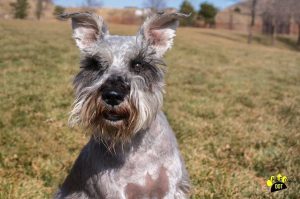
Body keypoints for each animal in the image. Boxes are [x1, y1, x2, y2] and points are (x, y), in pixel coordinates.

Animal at [55, 11, 191, 198]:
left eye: (138, 64)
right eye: (95, 64)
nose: (112, 95)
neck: (136, 147)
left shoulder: (170, 187)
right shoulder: (113, 191)